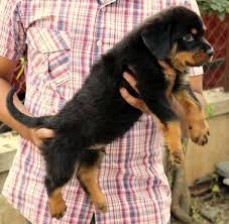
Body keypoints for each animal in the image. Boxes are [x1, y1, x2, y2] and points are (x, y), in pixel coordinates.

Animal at [6, 5, 212, 219]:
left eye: (202, 34)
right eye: (188, 37)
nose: (212, 52)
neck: (151, 54)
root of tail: (53, 121)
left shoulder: (177, 85)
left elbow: (195, 104)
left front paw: (200, 133)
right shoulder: (151, 90)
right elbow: (171, 118)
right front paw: (176, 150)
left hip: (92, 149)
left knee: (84, 174)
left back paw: (100, 201)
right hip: (64, 157)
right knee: (52, 180)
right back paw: (57, 207)